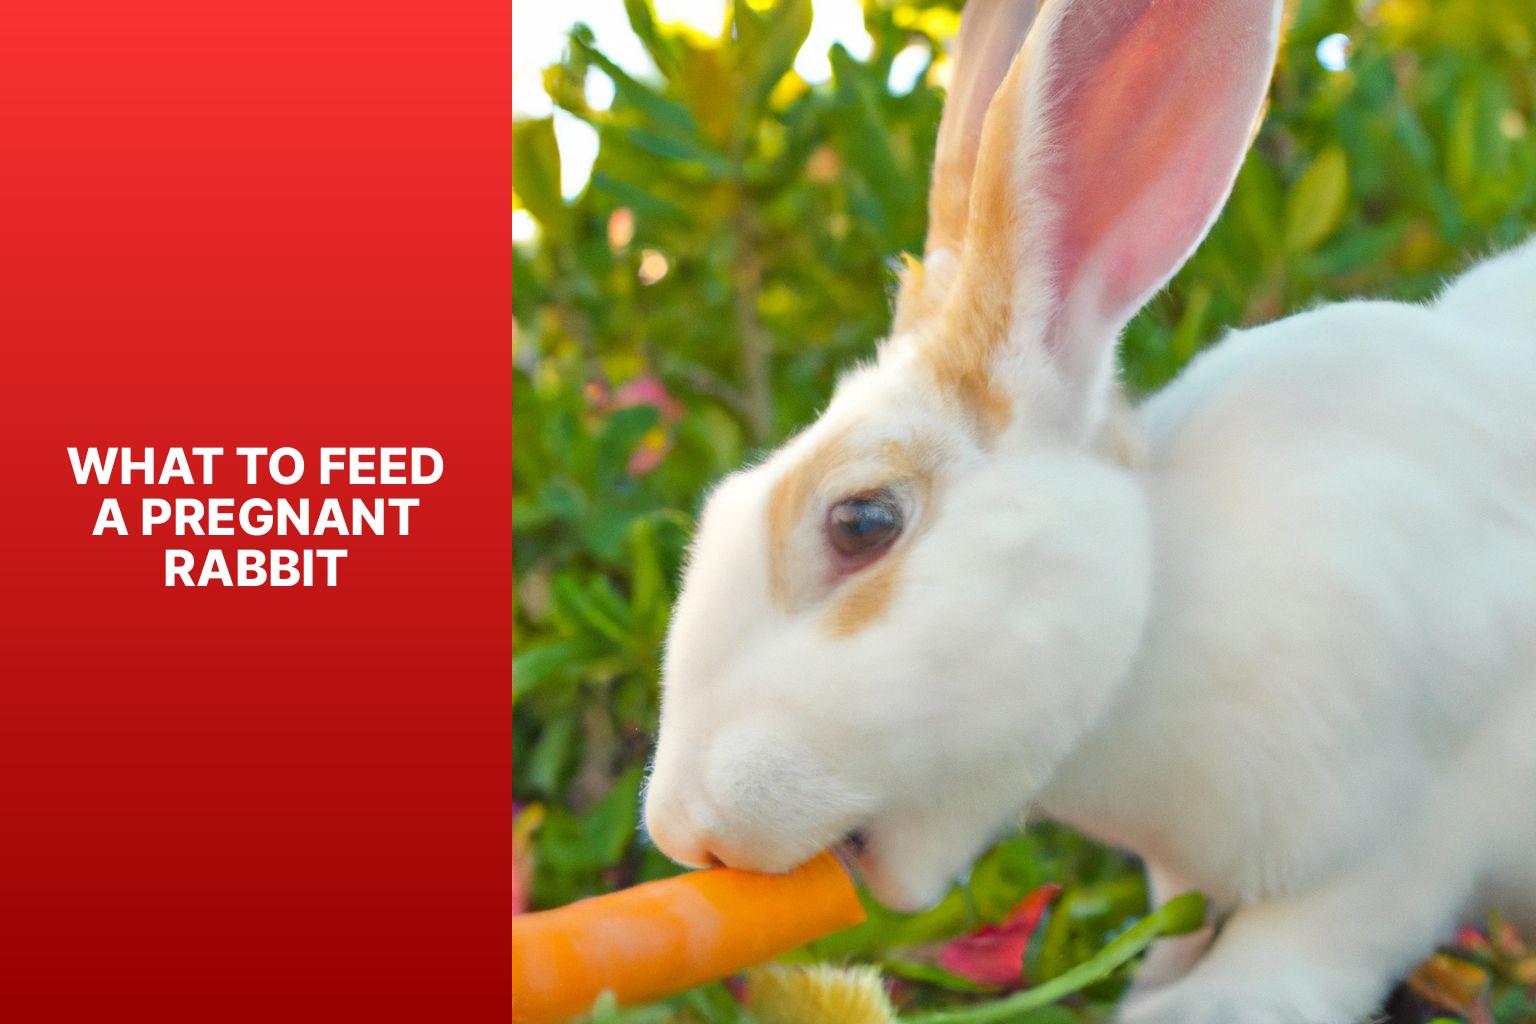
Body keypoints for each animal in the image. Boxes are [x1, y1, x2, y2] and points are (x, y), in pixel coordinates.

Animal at [642, 0, 1536, 1020]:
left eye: (861, 522)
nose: (681, 830)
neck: (1158, 627)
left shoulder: (1410, 835)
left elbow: (1311, 944)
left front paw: (1191, 1002)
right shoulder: (1181, 867)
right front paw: (1159, 972)